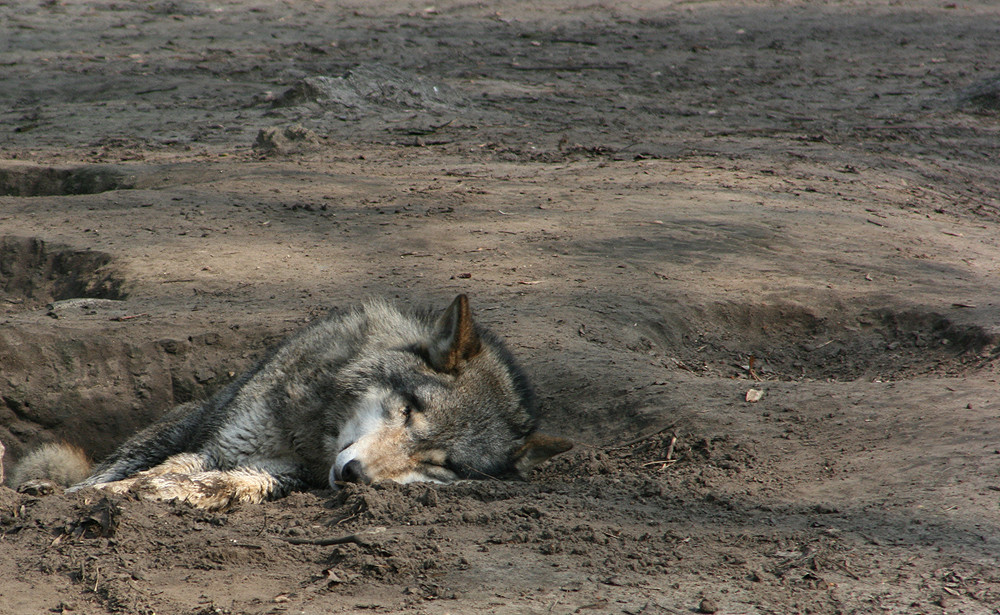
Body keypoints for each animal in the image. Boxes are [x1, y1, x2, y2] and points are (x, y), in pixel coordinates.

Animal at [15, 294, 572, 510]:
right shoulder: (216, 446)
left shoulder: (279, 475)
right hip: (174, 425)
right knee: (107, 466)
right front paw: (104, 496)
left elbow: (213, 486)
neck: (311, 438)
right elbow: (154, 474)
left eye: (440, 465)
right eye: (410, 410)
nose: (355, 475)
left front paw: (159, 497)